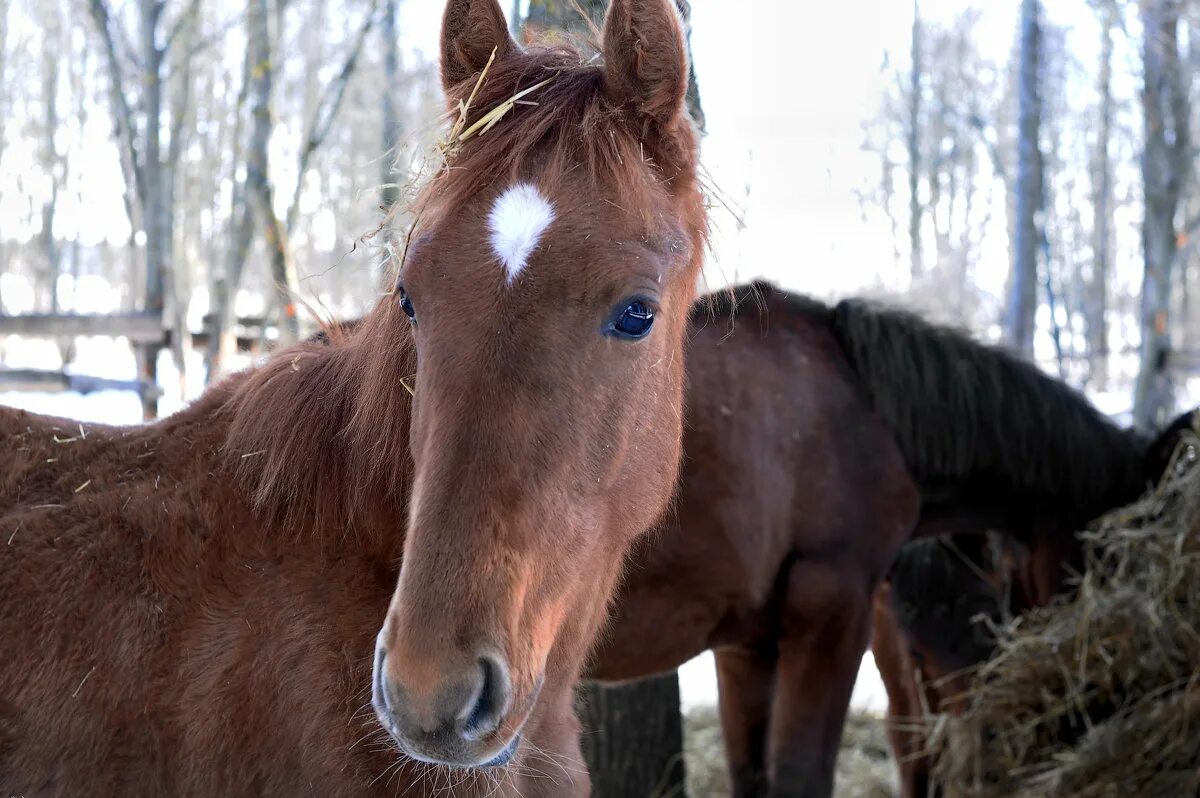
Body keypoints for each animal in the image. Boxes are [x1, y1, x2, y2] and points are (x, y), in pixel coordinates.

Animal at [585, 283, 1156, 796]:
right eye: (1110, 552)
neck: (863, 403)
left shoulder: (748, 645)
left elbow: (751, 777)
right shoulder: (833, 617)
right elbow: (800, 778)